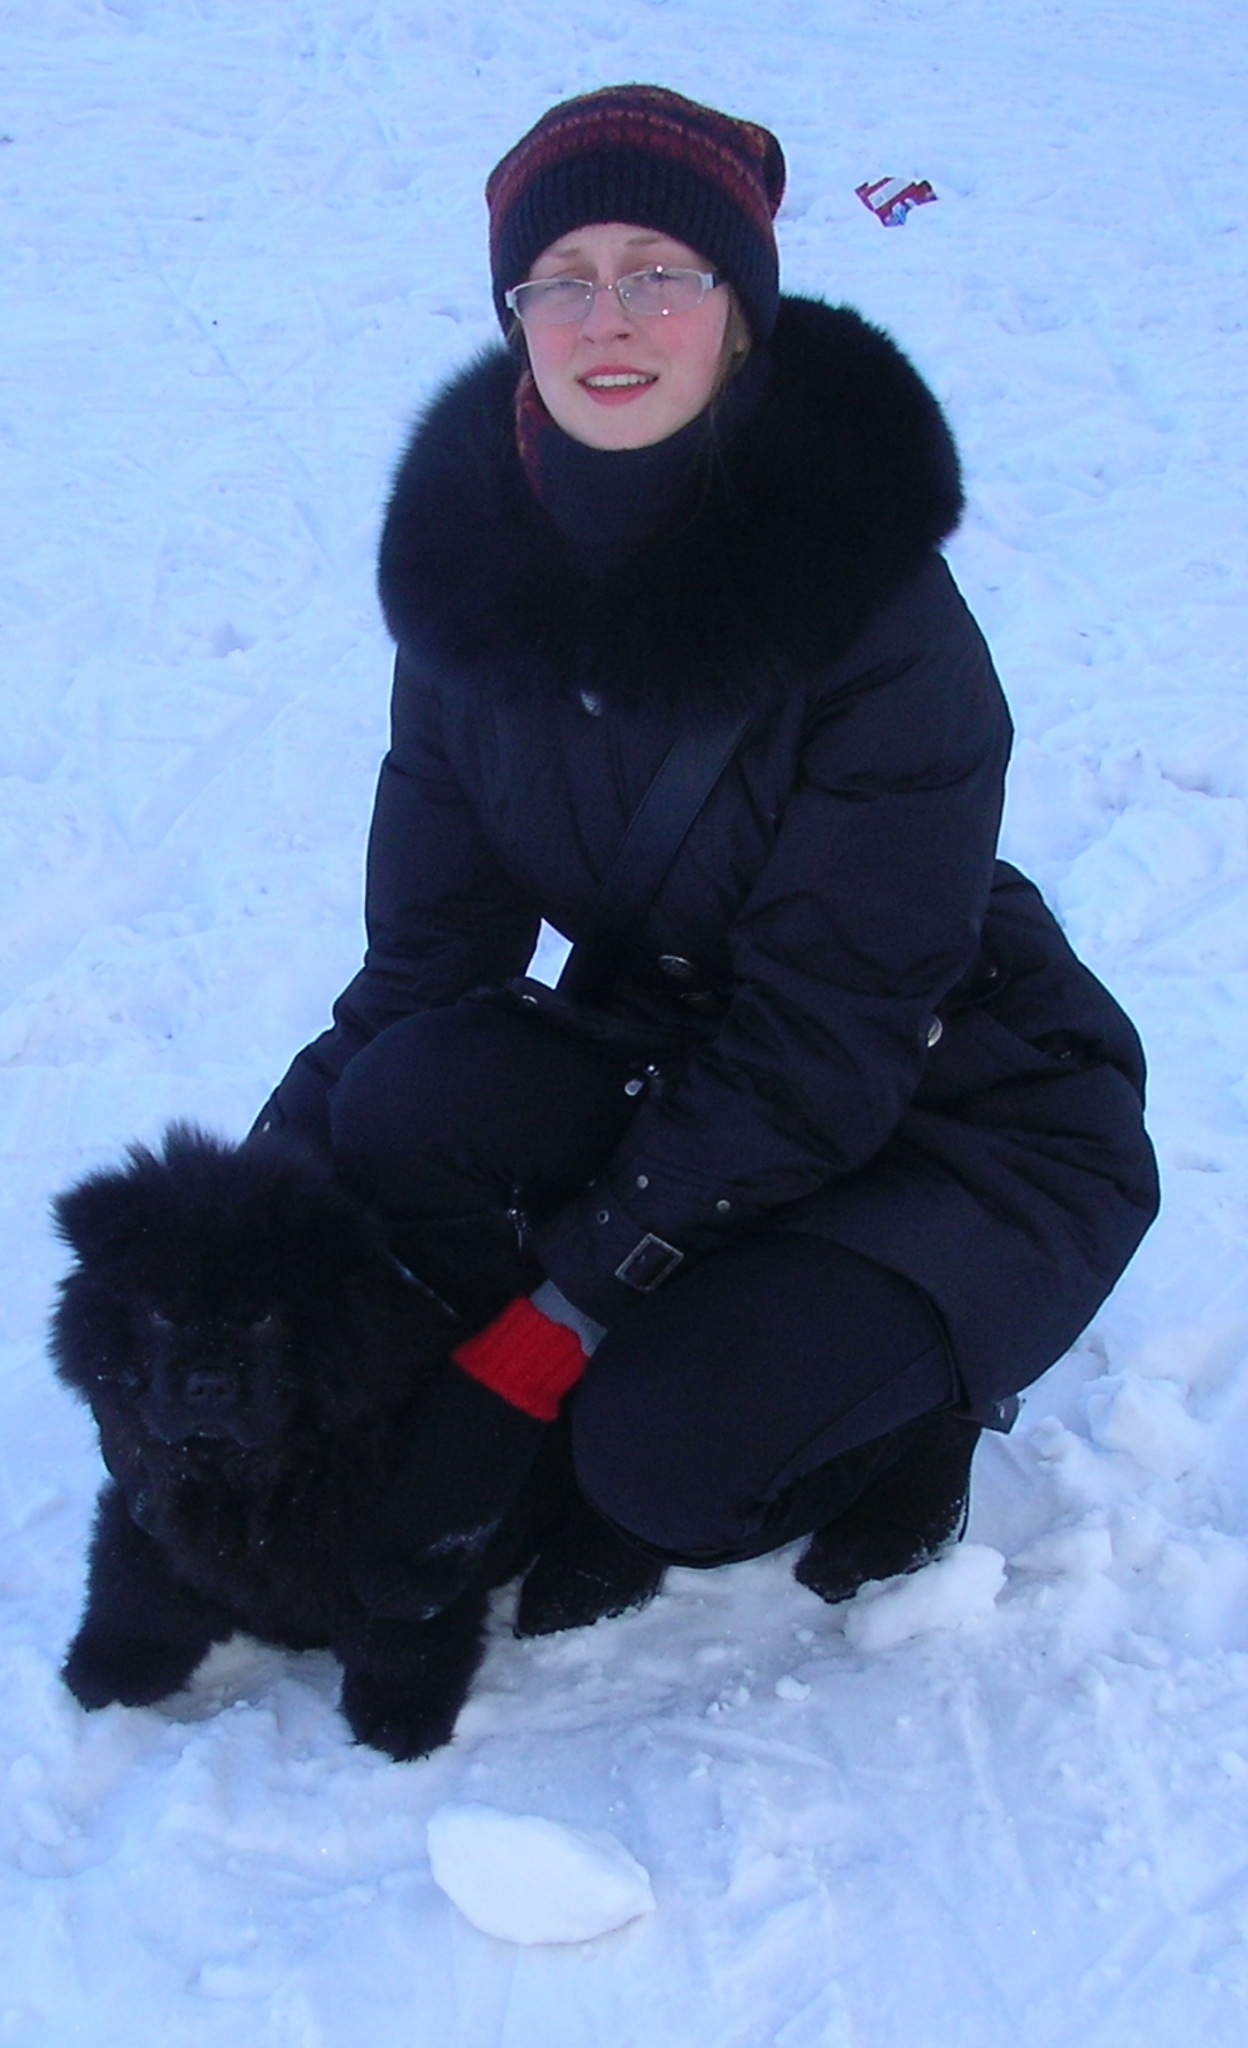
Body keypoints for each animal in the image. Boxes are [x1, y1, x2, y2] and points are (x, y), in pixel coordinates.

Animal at [50, 1123, 546, 1760]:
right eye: (160, 1314)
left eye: (265, 1318)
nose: (208, 1382)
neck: (244, 1472)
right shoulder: (149, 1503)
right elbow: (133, 1588)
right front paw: (107, 1671)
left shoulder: (394, 1531)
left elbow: (398, 1632)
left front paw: (400, 1719)